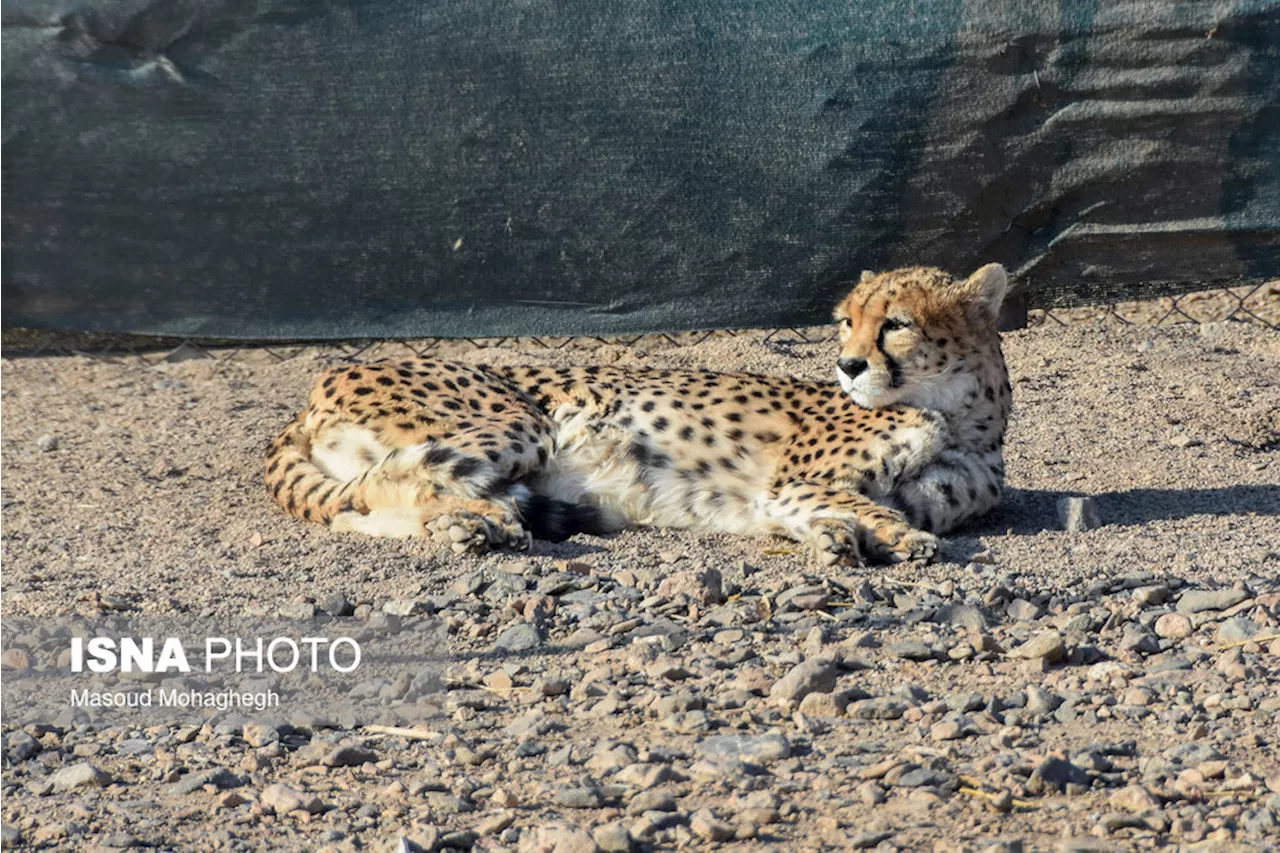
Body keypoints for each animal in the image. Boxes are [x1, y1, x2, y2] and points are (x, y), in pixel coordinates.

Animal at [264, 262, 1013, 560]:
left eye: (897, 325)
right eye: (845, 323)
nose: (848, 365)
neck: (960, 420)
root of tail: (320, 382)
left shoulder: (788, 498)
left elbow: (845, 513)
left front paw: (840, 540)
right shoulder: (791, 483)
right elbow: (867, 505)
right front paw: (890, 538)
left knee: (356, 508)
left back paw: (469, 524)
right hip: (521, 419)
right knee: (395, 479)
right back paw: (478, 521)